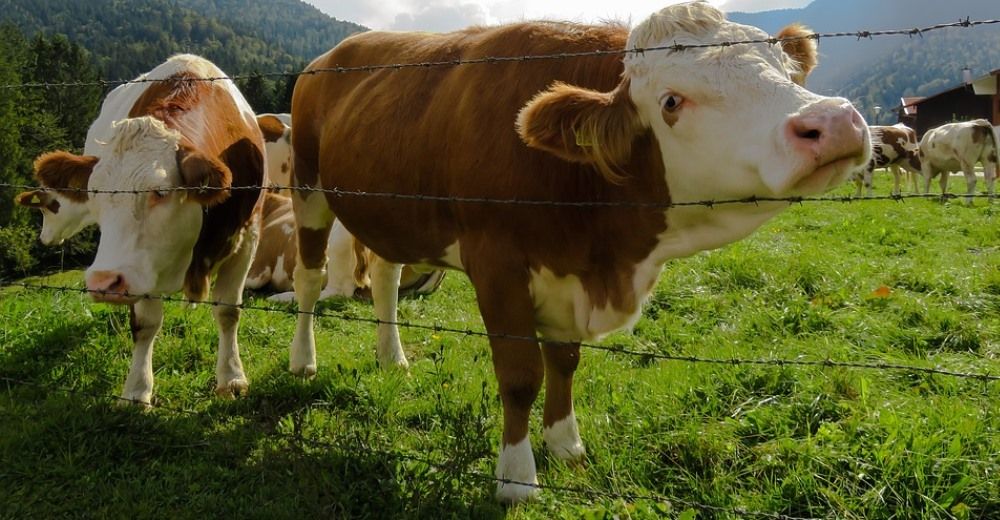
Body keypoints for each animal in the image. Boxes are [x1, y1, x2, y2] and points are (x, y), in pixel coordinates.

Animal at [31, 57, 266, 406]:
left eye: (161, 191)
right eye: (95, 192)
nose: (103, 283)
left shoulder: (247, 237)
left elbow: (227, 311)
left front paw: (232, 378)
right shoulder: (139, 266)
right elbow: (145, 323)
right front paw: (137, 390)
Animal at [288, 2, 868, 502]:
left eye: (788, 74)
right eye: (671, 102)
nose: (834, 122)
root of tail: (332, 55)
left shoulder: (565, 273)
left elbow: (564, 362)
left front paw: (565, 444)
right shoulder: (496, 263)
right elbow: (520, 375)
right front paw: (517, 478)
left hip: (391, 211)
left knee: (386, 274)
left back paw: (393, 359)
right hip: (306, 186)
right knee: (309, 278)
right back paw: (303, 361)